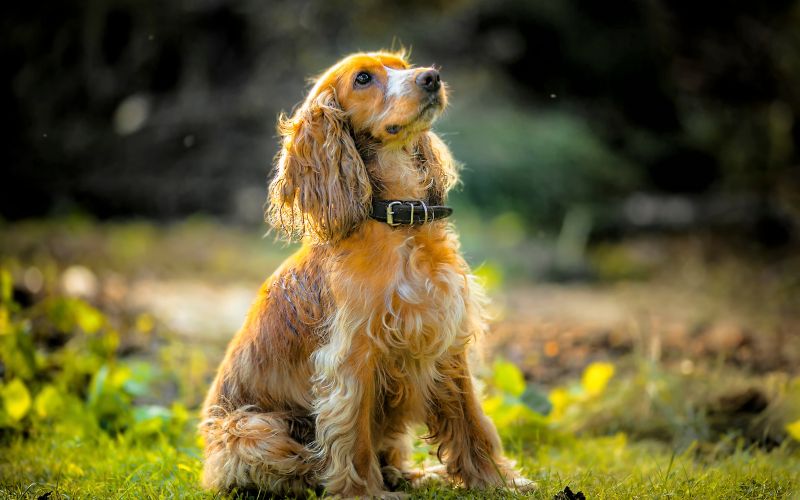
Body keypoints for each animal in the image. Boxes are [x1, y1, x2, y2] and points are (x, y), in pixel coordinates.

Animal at [198, 49, 532, 496]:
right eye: (362, 79)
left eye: (403, 66)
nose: (431, 78)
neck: (400, 226)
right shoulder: (351, 357)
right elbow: (352, 434)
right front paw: (363, 494)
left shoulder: (446, 339)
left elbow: (472, 421)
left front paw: (496, 482)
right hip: (251, 429)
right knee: (293, 467)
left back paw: (412, 474)